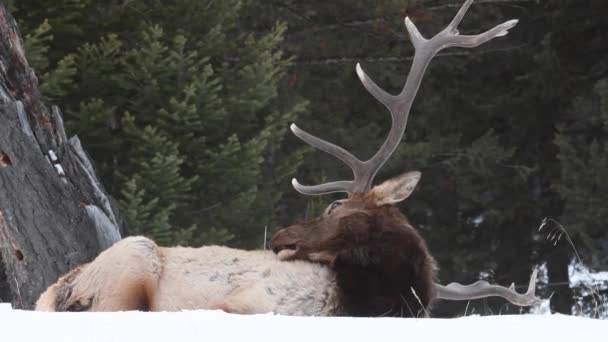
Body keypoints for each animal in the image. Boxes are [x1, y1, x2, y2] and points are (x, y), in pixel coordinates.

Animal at [35, 0, 540, 316]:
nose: (279, 238)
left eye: (335, 206)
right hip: (130, 263)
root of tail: (56, 289)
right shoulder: (250, 304)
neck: (373, 299)